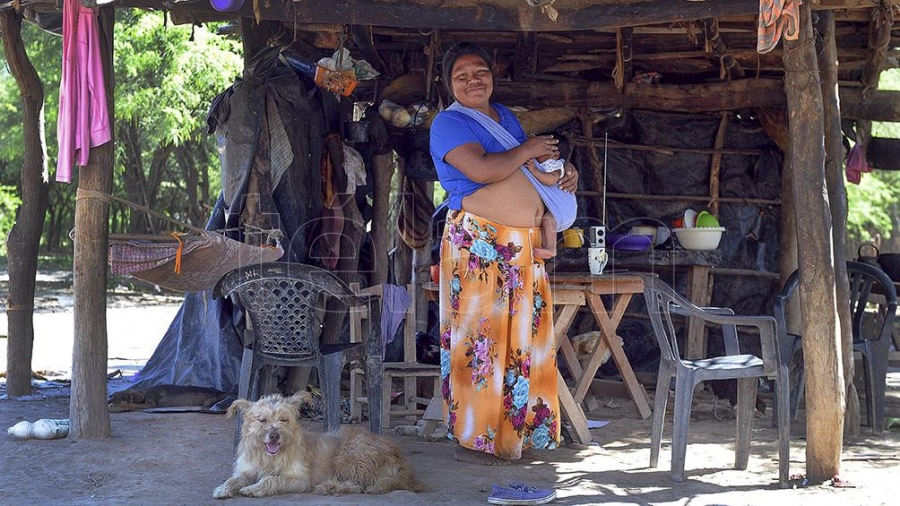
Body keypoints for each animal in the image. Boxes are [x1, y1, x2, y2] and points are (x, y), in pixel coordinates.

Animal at [213, 392, 420, 498]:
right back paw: (330, 487)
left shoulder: (300, 479)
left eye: (283, 420)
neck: (268, 457)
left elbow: (272, 479)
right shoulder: (247, 470)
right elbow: (234, 479)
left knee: (359, 485)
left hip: (349, 455)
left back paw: (330, 487)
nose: (274, 436)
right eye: (262, 420)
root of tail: (401, 458)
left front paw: (253, 489)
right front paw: (223, 488)